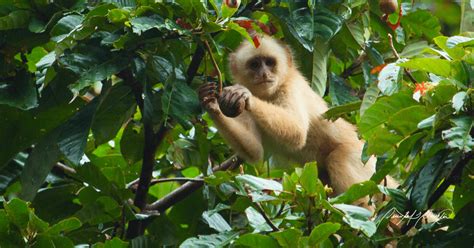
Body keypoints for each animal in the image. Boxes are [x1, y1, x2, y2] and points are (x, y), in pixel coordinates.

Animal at [198, 35, 390, 208]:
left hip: (360, 158)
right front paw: (211, 104)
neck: (269, 95)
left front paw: (246, 96)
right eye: (254, 64)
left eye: (269, 62)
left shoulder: (291, 86)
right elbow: (255, 150)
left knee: (339, 162)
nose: (264, 74)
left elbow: (297, 133)